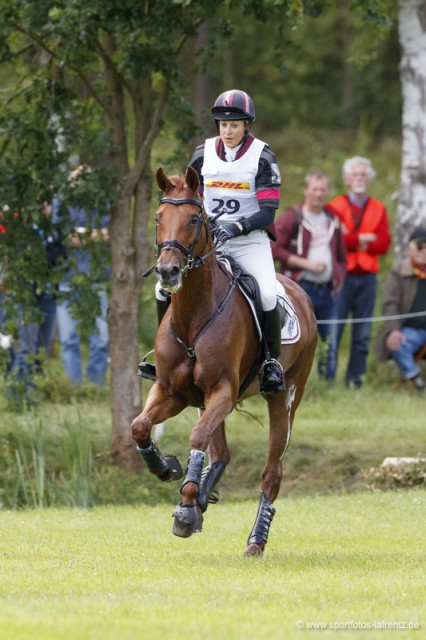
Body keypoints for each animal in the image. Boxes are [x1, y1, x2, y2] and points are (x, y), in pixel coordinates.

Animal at [131, 165, 318, 556]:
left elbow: (197, 436)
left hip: (285, 398)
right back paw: (201, 498)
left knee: (271, 473)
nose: (168, 271)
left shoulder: (223, 392)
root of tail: (301, 293)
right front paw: (167, 468)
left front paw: (187, 504)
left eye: (193, 219)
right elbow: (140, 427)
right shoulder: (172, 391)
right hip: (205, 401)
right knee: (222, 453)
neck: (193, 314)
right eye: (158, 218)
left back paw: (255, 540)